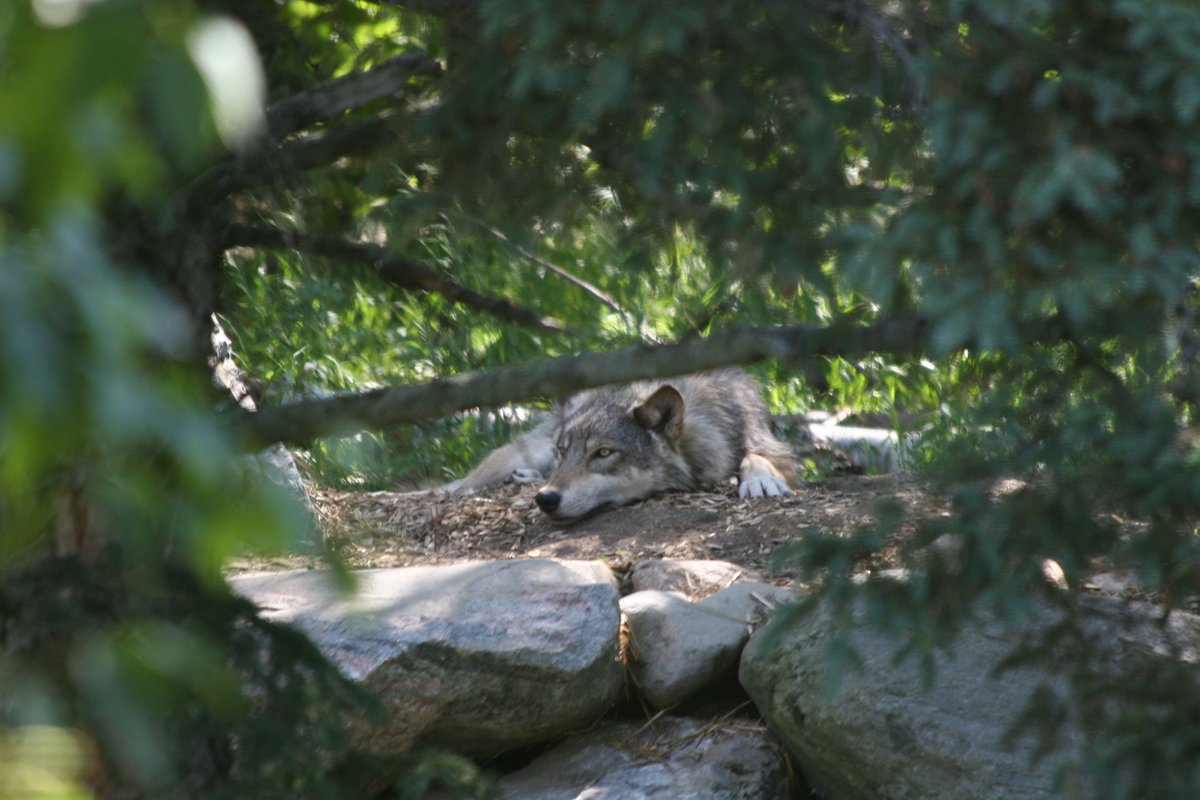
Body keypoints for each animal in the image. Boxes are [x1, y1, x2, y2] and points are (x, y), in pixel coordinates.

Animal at [443, 368, 795, 523]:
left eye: (603, 453)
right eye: (564, 451)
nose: (545, 499)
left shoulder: (764, 441)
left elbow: (755, 456)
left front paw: (761, 480)